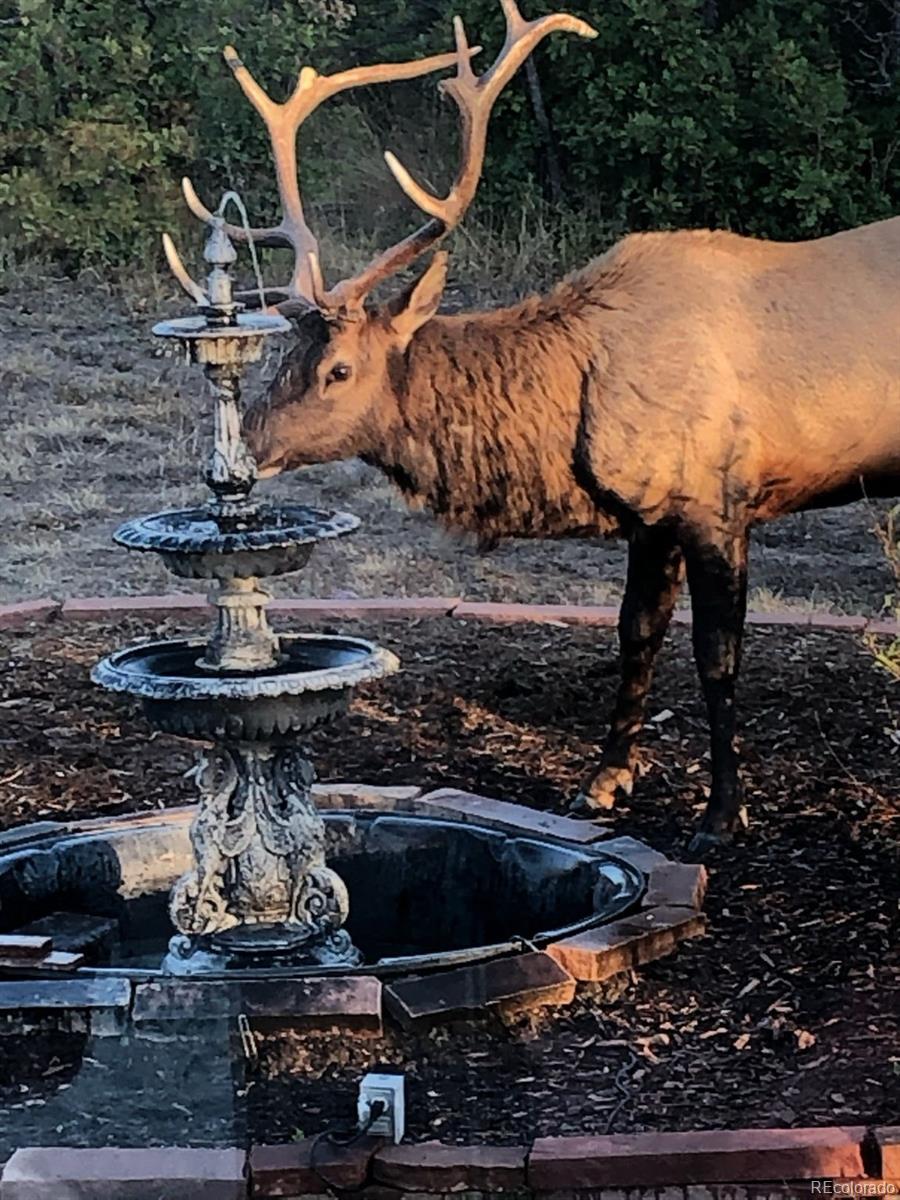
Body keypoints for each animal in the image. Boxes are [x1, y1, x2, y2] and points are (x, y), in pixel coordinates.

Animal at [175, 1, 900, 853]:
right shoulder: (649, 515)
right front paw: (603, 782)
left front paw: (722, 814)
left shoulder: (718, 503)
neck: (571, 419)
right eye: (285, 354)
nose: (245, 448)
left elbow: (717, 658)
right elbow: (634, 633)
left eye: (339, 370)